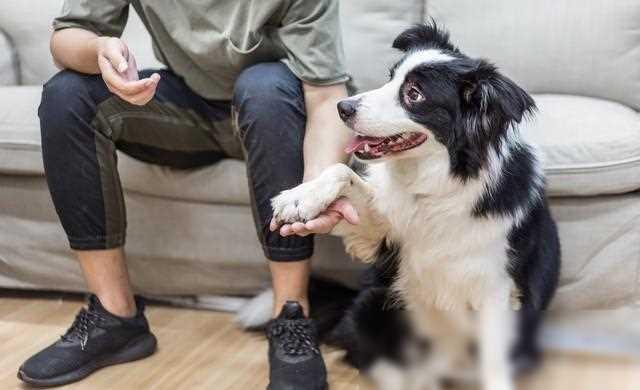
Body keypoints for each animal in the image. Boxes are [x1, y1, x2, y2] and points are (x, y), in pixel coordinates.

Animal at [242, 23, 556, 390]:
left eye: (414, 94)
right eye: (390, 77)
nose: (342, 107)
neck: (437, 185)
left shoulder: (496, 289)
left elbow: (494, 364)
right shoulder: (383, 237)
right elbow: (341, 171)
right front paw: (299, 198)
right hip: (377, 301)